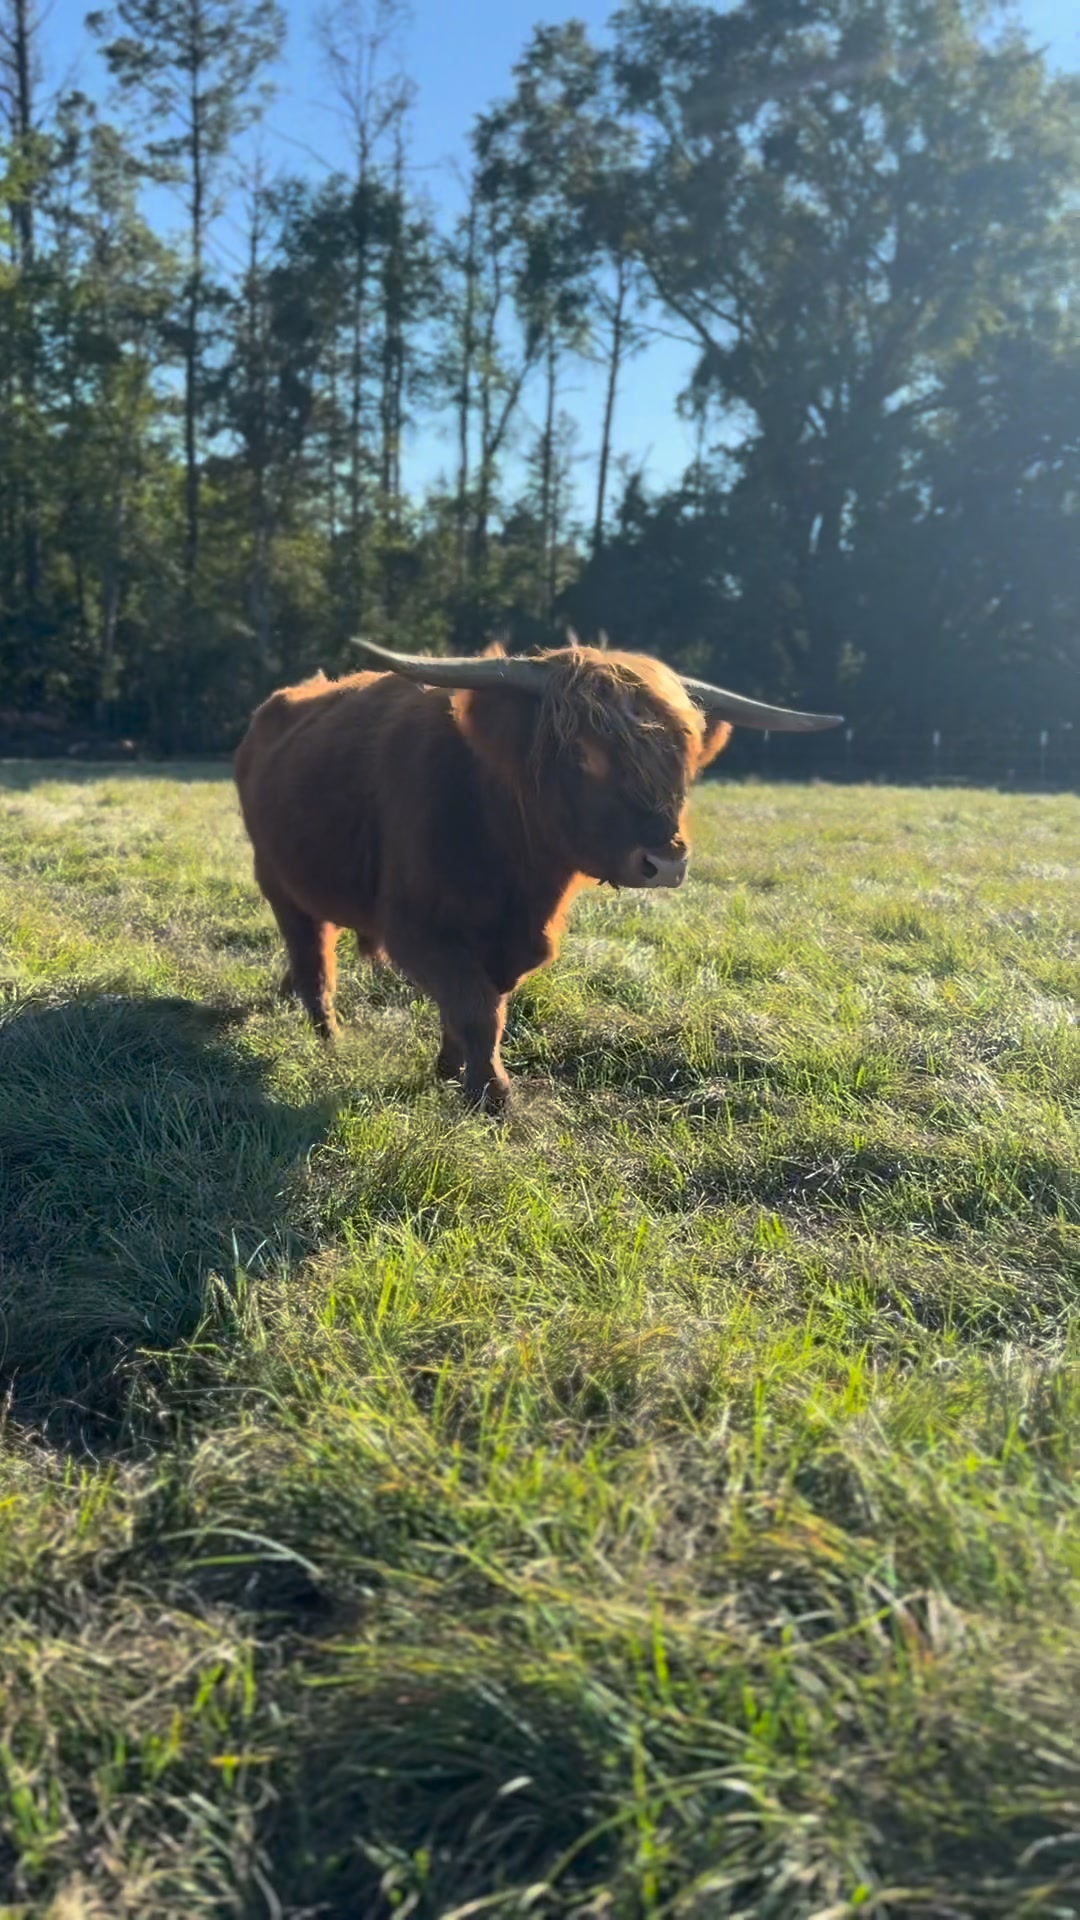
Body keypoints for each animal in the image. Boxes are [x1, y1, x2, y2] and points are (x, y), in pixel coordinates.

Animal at [233, 639, 842, 1112]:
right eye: (583, 753)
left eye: (683, 757)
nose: (665, 862)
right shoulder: (419, 929)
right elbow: (475, 1008)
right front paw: (490, 1096)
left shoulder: (517, 941)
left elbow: (481, 1005)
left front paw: (451, 1068)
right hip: (276, 877)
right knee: (313, 956)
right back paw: (327, 1035)